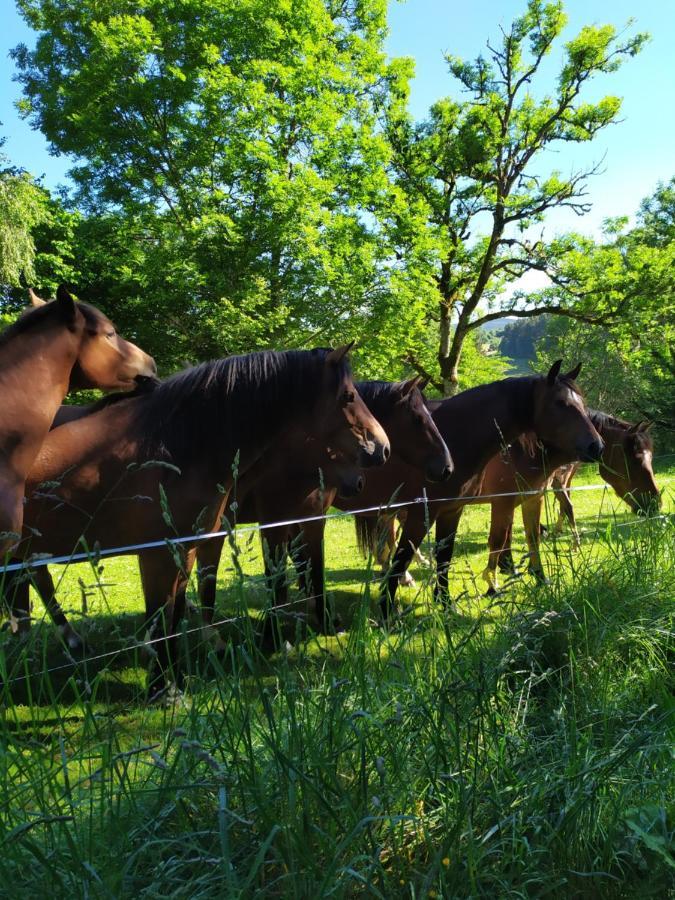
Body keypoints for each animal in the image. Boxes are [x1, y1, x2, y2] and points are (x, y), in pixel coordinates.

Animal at [5, 346, 388, 696]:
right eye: (348, 395)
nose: (382, 449)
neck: (171, 446)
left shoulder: (188, 549)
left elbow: (178, 613)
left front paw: (176, 676)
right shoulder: (160, 554)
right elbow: (163, 616)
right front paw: (162, 688)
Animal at [346, 358, 604, 620]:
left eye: (582, 403)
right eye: (560, 403)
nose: (596, 446)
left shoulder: (530, 498)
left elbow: (530, 538)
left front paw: (538, 577)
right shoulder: (496, 502)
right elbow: (497, 540)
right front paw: (493, 583)